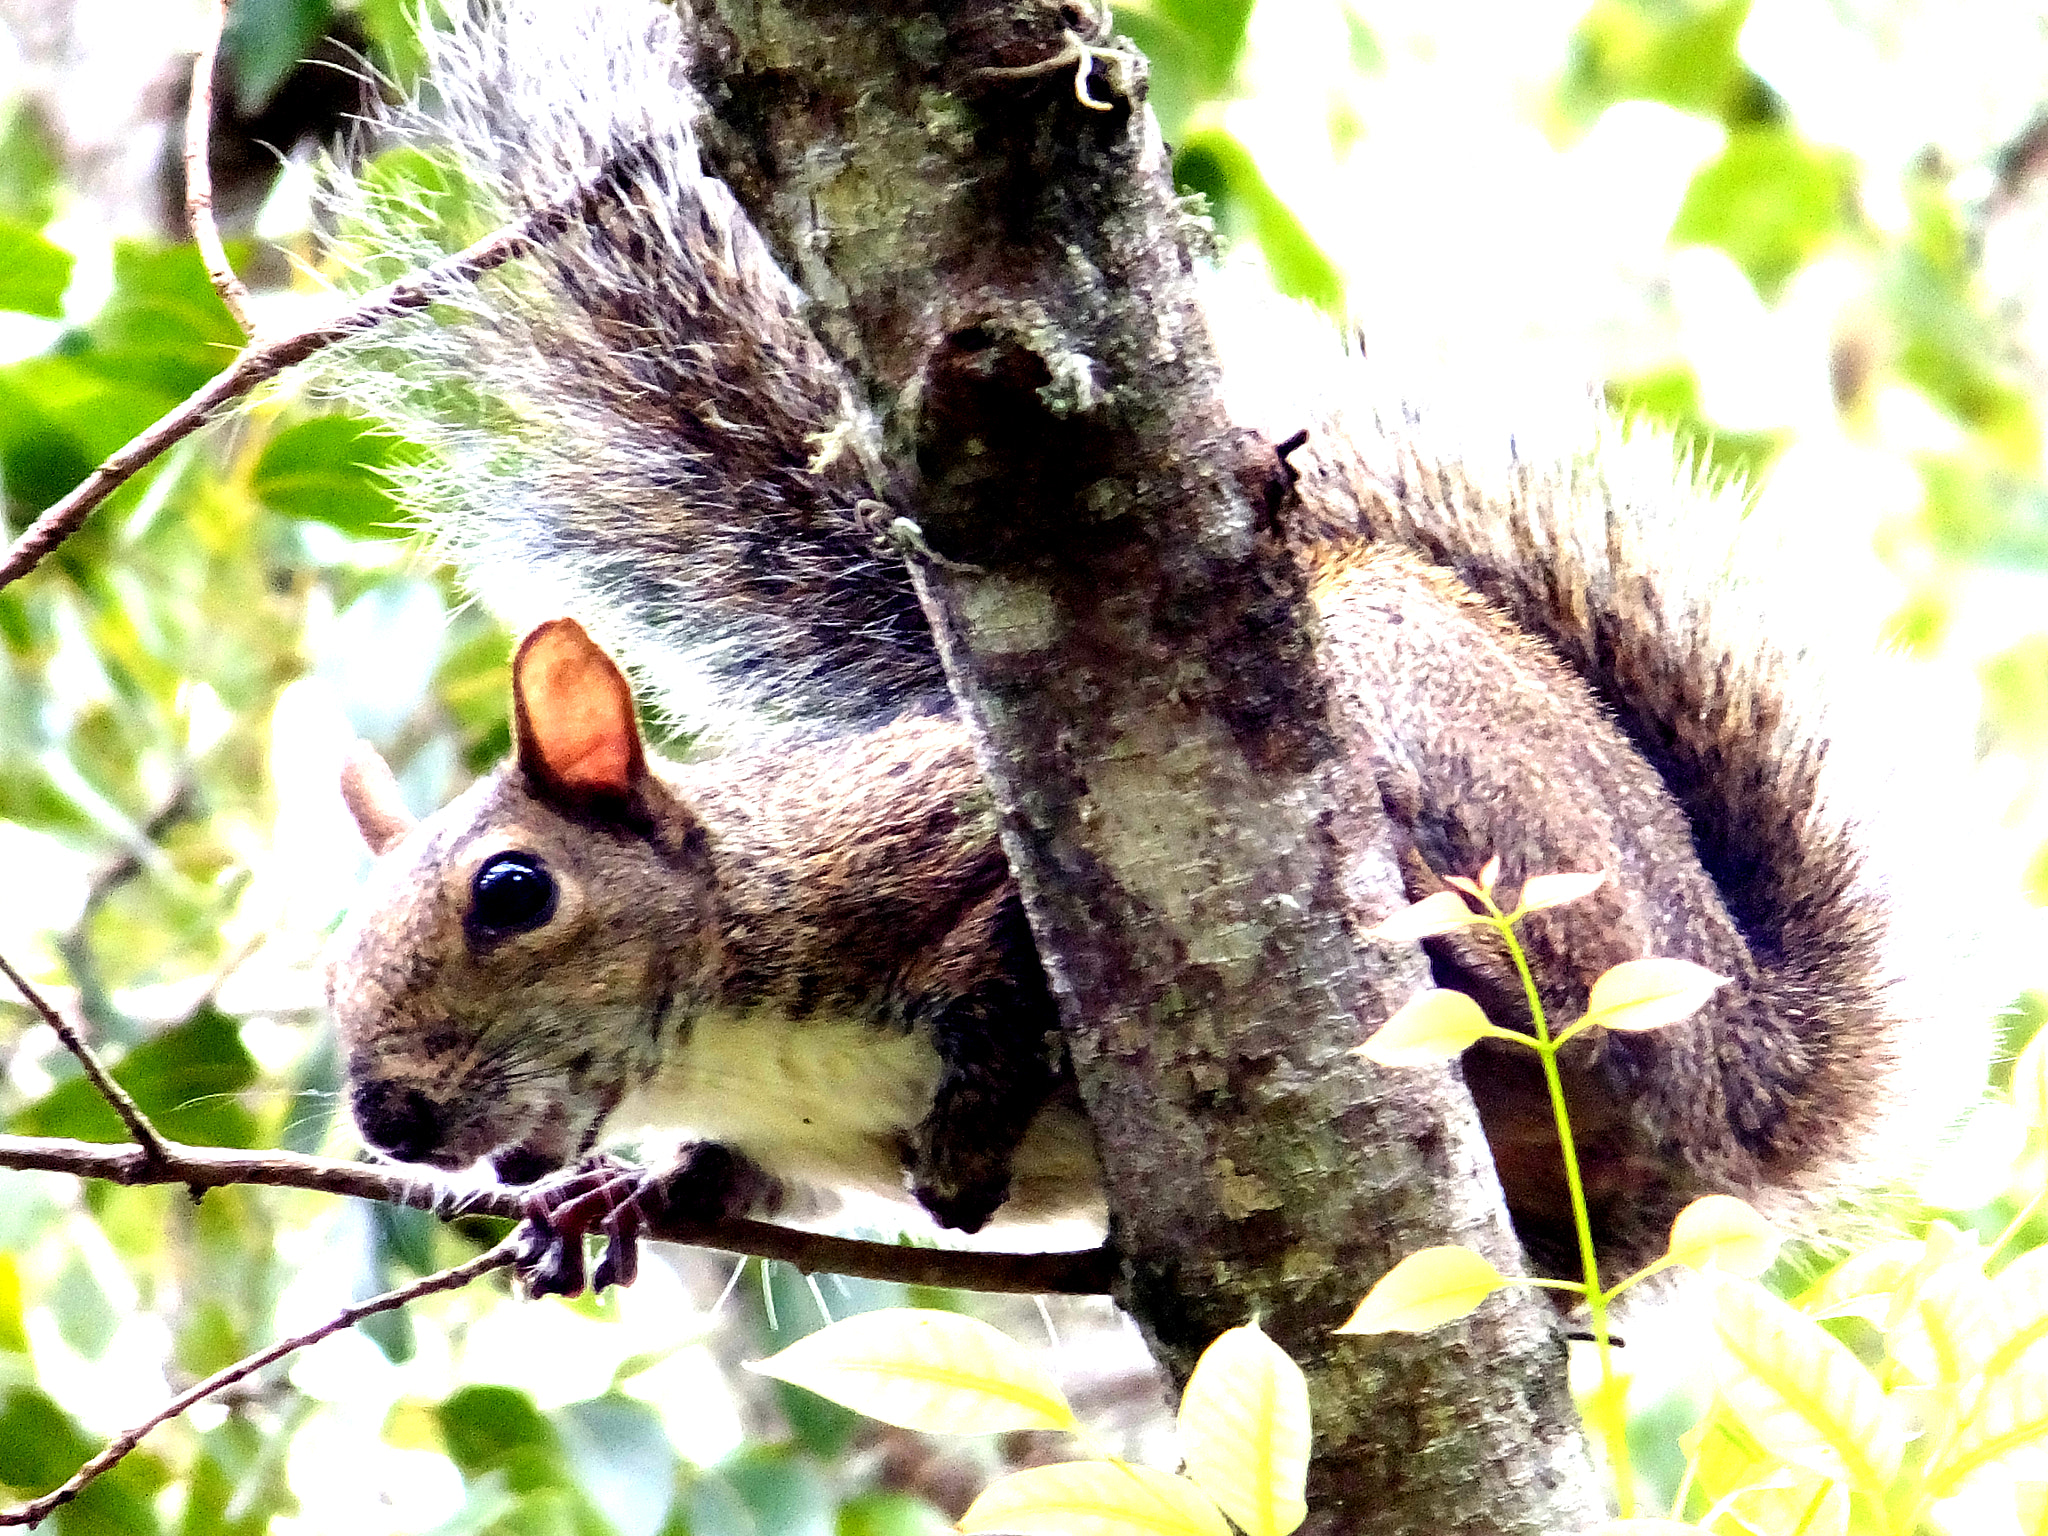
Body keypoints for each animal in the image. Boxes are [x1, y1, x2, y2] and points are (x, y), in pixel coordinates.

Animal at [319, 0, 1982, 1302]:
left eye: (513, 894)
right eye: (335, 951)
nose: (387, 1117)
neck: (730, 1035)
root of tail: (1741, 1075)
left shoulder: (919, 842)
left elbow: (1002, 950)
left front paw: (969, 1112)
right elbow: (726, 1178)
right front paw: (615, 1195)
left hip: (1489, 829)